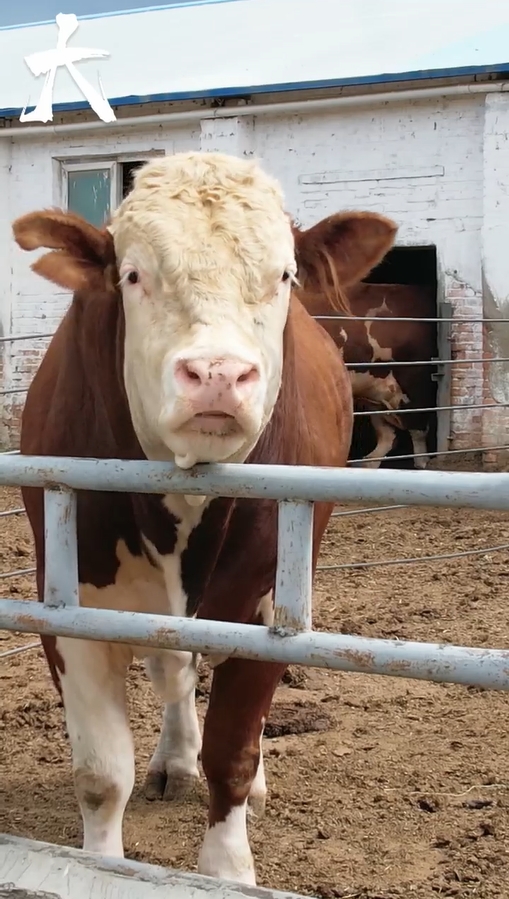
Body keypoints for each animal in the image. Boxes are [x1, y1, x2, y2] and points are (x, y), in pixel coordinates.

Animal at [11, 153, 396, 884]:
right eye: (133, 275)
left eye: (284, 276)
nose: (217, 374)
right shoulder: (69, 608)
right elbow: (101, 772)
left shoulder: (268, 606)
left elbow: (233, 753)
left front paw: (227, 868)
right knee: (176, 673)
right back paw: (174, 756)